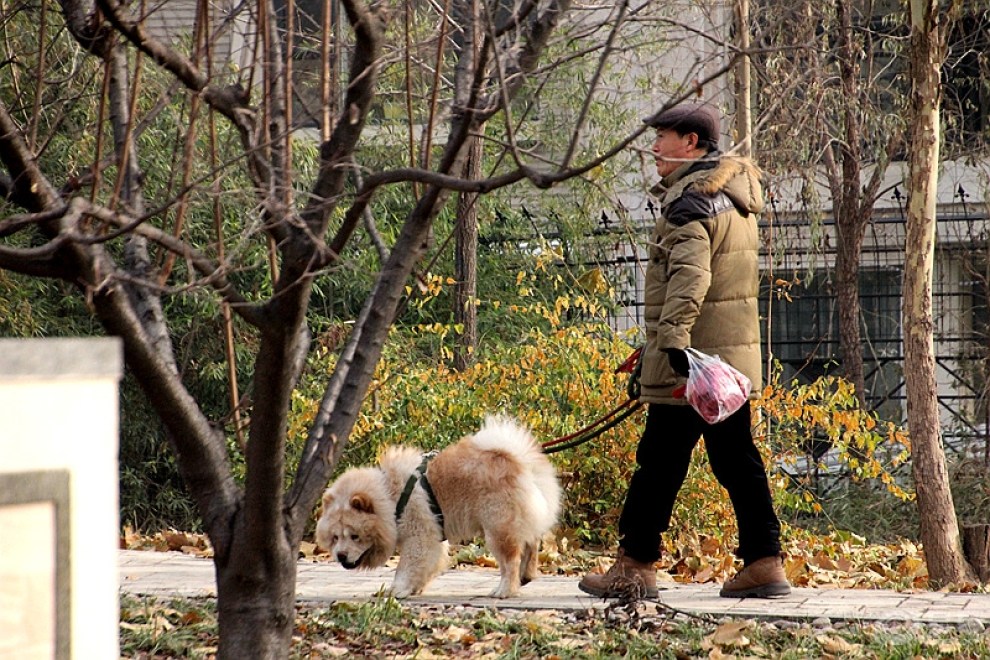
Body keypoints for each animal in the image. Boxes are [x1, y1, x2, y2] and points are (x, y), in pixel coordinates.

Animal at [318, 418, 564, 600]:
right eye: (335, 538)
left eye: (355, 536)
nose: (340, 556)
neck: (390, 496)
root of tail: (517, 460)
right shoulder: (433, 538)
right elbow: (426, 566)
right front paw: (414, 589)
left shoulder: (419, 536)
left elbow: (406, 567)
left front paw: (395, 590)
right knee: (530, 546)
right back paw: (525, 577)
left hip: (497, 529)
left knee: (510, 561)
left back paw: (504, 590)